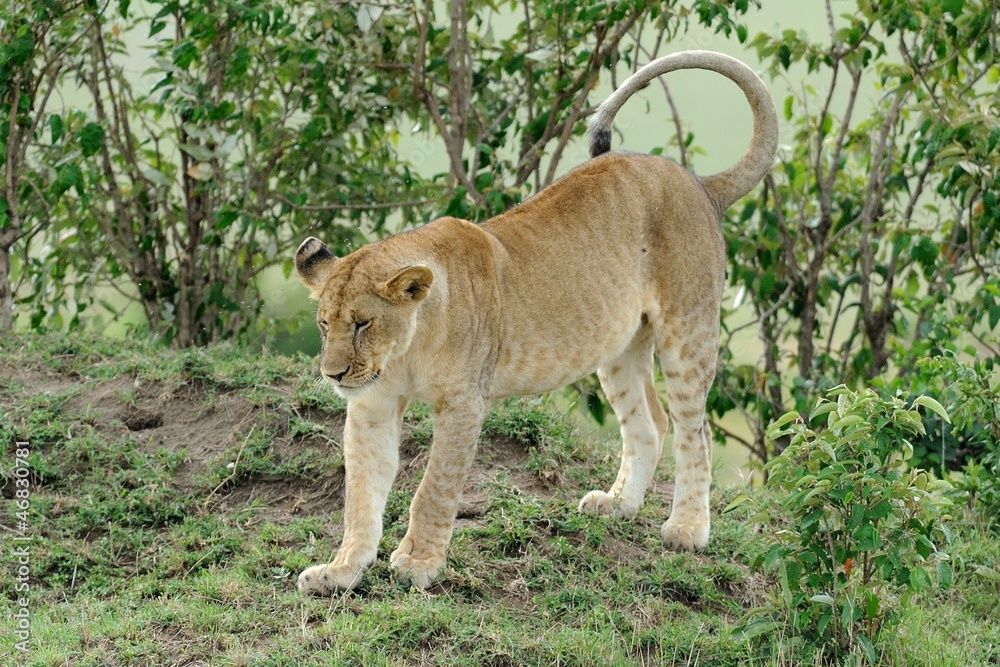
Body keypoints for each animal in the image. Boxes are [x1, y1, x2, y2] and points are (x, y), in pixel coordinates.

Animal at [294, 50, 778, 594]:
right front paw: (342, 570)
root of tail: (699, 183)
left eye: (362, 324)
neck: (406, 351)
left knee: (694, 431)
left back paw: (688, 528)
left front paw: (418, 562)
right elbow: (361, 493)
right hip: (619, 345)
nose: (332, 374)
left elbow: (435, 486)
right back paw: (618, 505)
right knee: (649, 422)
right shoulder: (372, 404)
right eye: (324, 324)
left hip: (687, 330)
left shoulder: (464, 403)